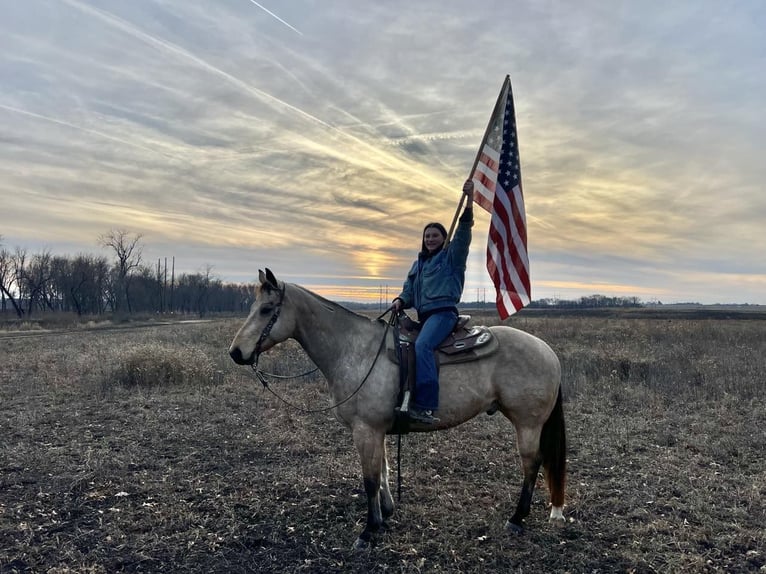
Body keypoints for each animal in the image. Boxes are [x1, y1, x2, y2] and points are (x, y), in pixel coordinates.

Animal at [230, 268, 568, 548]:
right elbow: (382, 472)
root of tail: (548, 352)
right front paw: (385, 514)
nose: (236, 352)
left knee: (532, 463)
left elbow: (369, 479)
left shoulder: (365, 430)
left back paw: (517, 518)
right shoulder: (376, 430)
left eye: (266, 309)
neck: (356, 351)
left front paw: (368, 531)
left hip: (527, 423)